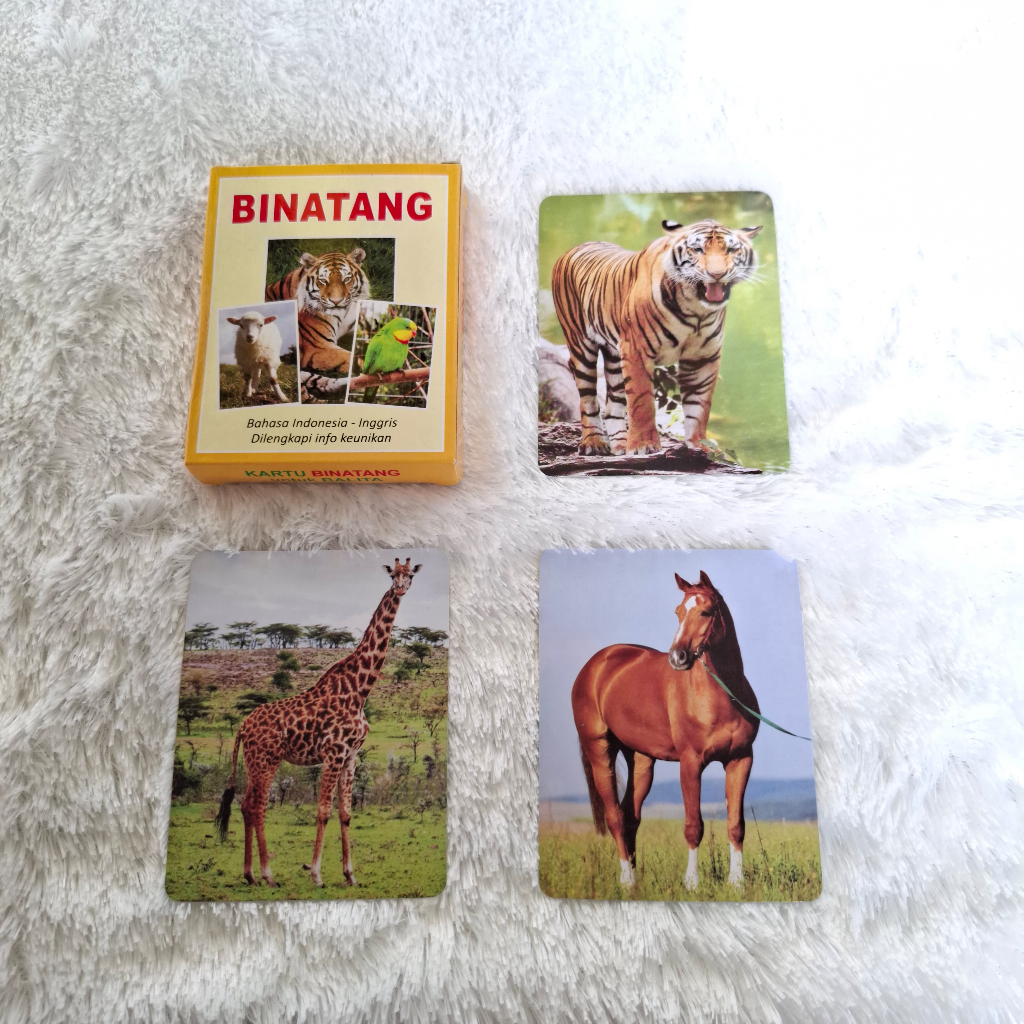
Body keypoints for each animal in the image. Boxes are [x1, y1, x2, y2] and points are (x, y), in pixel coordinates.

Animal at [215, 557, 421, 887]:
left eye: (411, 574)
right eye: (393, 575)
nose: (401, 588)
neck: (360, 690)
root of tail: (242, 727)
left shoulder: (351, 756)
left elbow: (346, 814)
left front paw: (350, 876)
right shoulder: (333, 753)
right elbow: (323, 811)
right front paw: (316, 875)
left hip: (252, 762)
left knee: (246, 805)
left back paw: (250, 875)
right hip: (266, 760)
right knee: (257, 807)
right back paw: (268, 874)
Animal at [551, 219, 760, 456]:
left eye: (731, 250)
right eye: (697, 249)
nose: (717, 274)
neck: (697, 309)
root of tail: (572, 249)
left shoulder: (703, 358)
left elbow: (700, 406)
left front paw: (699, 444)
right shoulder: (636, 350)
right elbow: (642, 402)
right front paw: (643, 446)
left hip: (615, 357)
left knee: (613, 404)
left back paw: (620, 446)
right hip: (581, 347)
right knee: (587, 399)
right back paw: (594, 443)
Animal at [571, 570, 760, 890]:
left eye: (705, 612)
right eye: (678, 612)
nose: (677, 658)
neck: (722, 695)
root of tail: (595, 665)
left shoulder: (740, 759)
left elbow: (736, 825)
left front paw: (737, 884)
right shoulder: (690, 763)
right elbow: (693, 826)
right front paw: (692, 883)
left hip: (641, 759)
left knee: (630, 816)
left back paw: (635, 879)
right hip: (599, 751)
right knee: (615, 817)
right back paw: (626, 880)